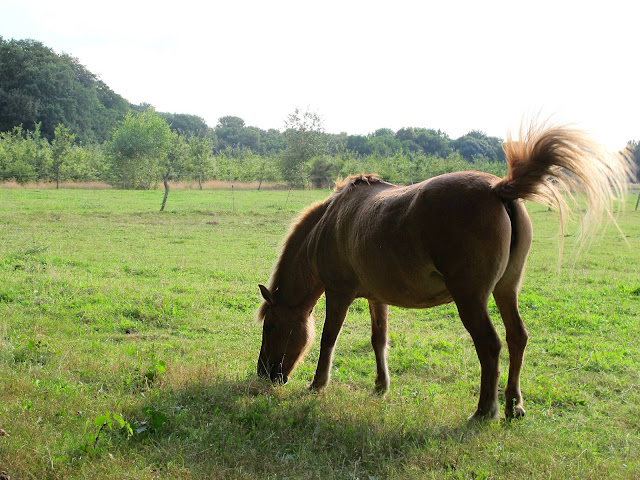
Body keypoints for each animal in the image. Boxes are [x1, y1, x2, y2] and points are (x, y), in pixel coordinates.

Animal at [255, 121, 632, 420]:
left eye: (270, 325)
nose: (264, 375)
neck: (330, 222)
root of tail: (499, 188)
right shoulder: (377, 298)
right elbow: (379, 340)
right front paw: (380, 386)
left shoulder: (339, 294)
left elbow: (328, 339)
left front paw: (318, 385)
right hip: (506, 290)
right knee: (517, 338)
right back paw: (513, 405)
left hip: (471, 298)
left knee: (491, 345)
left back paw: (485, 411)